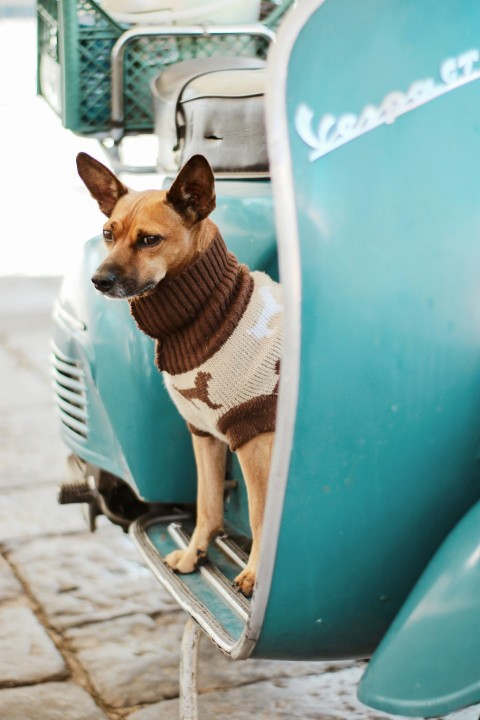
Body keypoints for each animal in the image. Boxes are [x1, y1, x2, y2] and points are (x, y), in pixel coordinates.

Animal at [77, 153, 284, 596]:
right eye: (107, 233)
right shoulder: (204, 432)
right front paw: (195, 554)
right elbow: (207, 505)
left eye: (149, 240)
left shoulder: (254, 439)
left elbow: (259, 516)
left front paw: (255, 574)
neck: (209, 311)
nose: (99, 281)